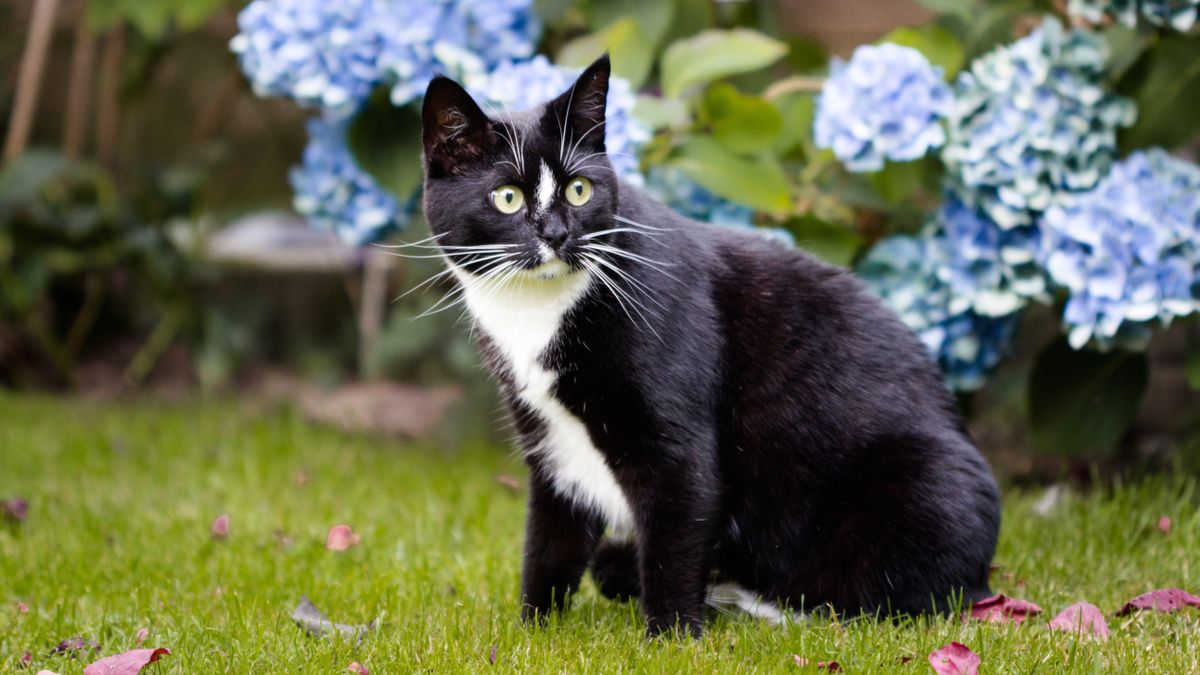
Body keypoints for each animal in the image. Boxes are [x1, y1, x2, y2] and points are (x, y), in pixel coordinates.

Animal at [417, 53, 998, 634]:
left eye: (578, 188)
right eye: (507, 198)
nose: (558, 235)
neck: (537, 311)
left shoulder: (676, 438)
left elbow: (676, 524)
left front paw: (671, 636)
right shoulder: (548, 436)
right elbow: (550, 538)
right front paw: (536, 628)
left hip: (923, 484)